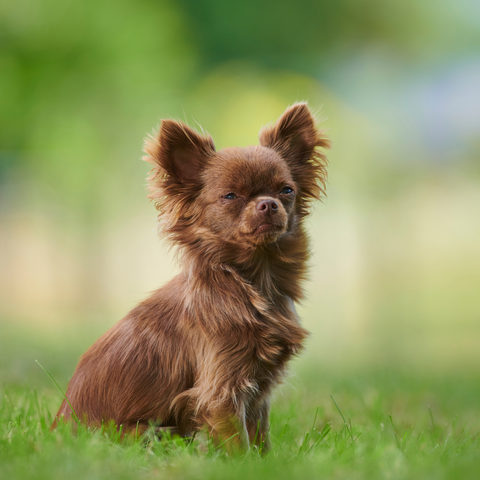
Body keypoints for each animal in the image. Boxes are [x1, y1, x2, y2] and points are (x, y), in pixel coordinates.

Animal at [52, 103, 330, 452]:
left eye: (286, 190)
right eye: (230, 196)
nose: (269, 204)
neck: (253, 281)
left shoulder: (256, 392)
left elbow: (260, 438)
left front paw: (268, 460)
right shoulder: (221, 391)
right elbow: (239, 444)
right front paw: (243, 461)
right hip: (152, 432)